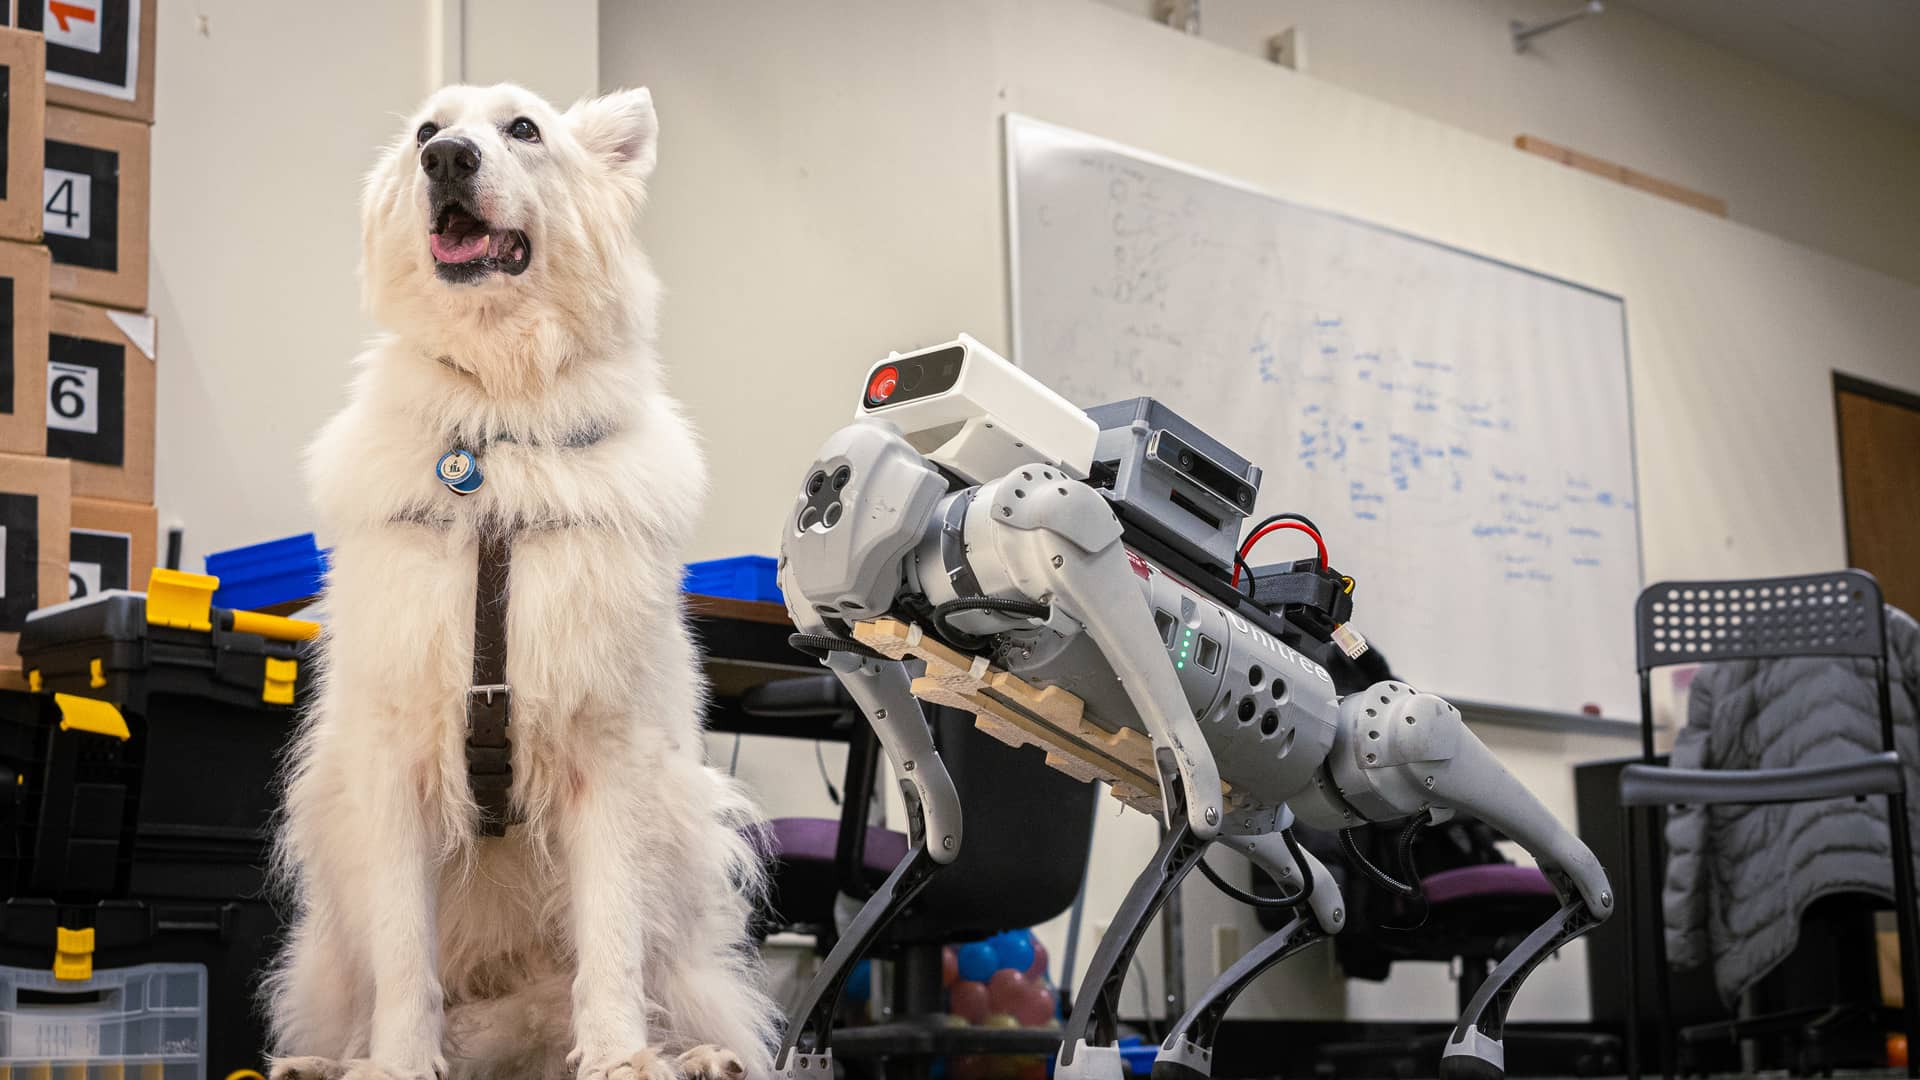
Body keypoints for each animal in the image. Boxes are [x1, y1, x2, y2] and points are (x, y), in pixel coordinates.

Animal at [270, 82, 779, 1076]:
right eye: (427, 134)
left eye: (524, 130)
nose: (448, 160)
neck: (495, 434)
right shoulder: (394, 756)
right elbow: (404, 954)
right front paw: (399, 1063)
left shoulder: (608, 751)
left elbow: (611, 939)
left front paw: (621, 1059)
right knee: (366, 1001)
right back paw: (334, 1060)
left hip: (684, 843)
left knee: (659, 991)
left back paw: (693, 1054)